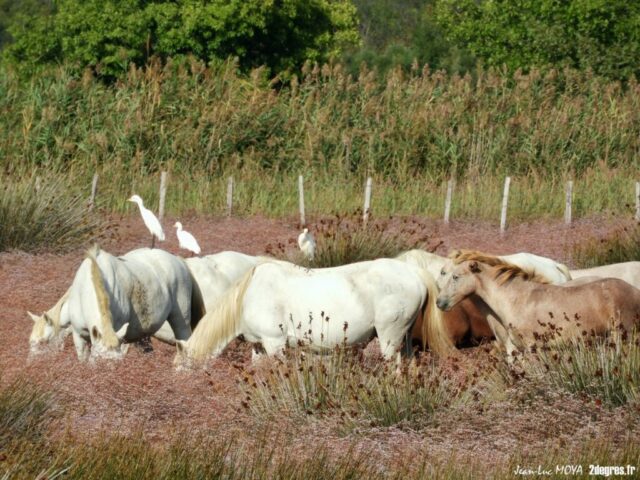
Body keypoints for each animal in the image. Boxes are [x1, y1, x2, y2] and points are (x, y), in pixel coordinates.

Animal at [173, 258, 441, 368]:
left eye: (182, 367)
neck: (249, 294)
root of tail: (414, 272)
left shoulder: (275, 344)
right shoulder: (259, 347)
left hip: (390, 337)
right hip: (405, 337)